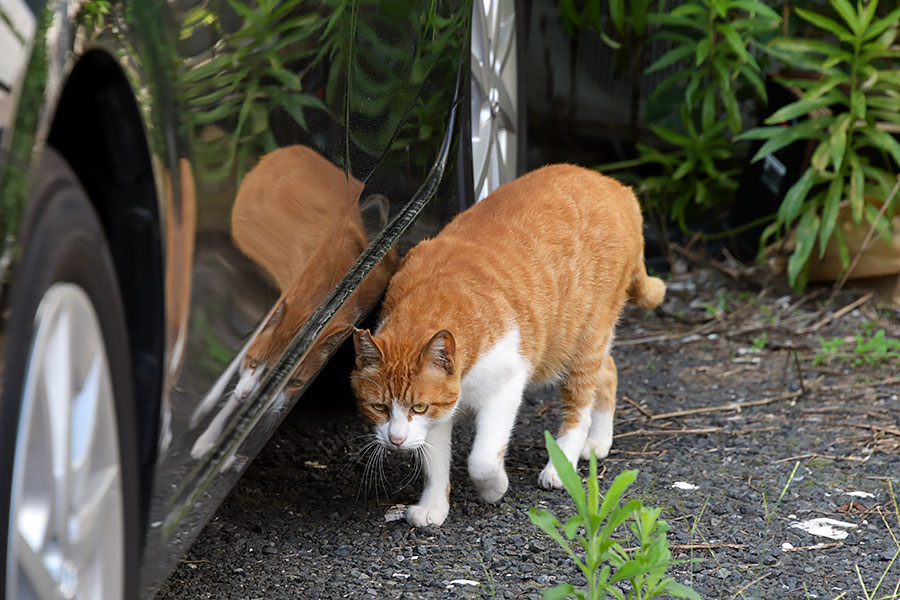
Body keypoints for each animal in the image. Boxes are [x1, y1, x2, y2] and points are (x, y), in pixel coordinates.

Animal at [350, 163, 660, 524]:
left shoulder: (506, 384)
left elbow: (482, 460)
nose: (396, 440)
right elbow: (435, 462)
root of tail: (615, 187)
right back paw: (598, 441)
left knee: (580, 405)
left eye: (418, 407)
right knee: (608, 371)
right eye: (379, 407)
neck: (426, 307)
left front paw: (494, 489)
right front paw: (434, 505)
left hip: (585, 337)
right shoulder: (440, 412)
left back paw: (562, 464)